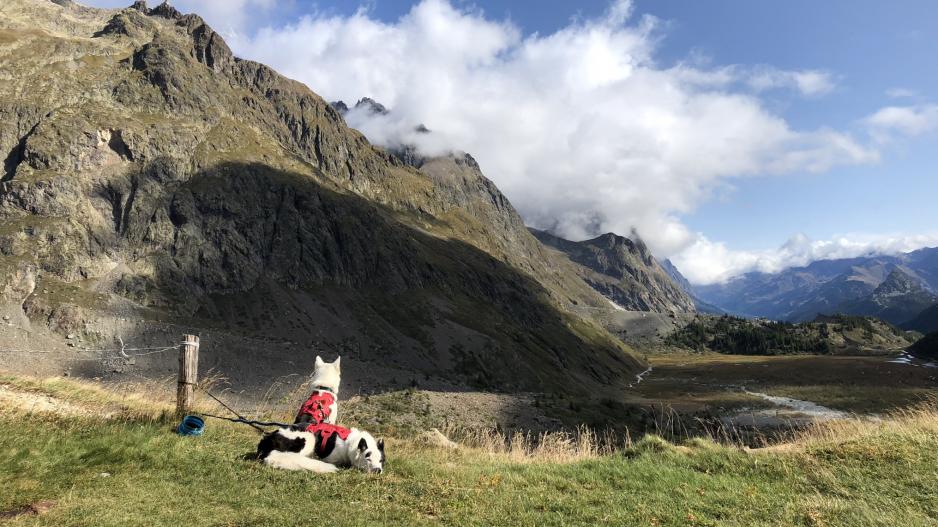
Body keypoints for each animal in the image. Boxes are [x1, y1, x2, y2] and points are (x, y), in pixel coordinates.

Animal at [256, 422, 384, 476]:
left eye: (381, 461)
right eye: (368, 459)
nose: (378, 470)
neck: (349, 444)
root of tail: (267, 440)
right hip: (309, 437)